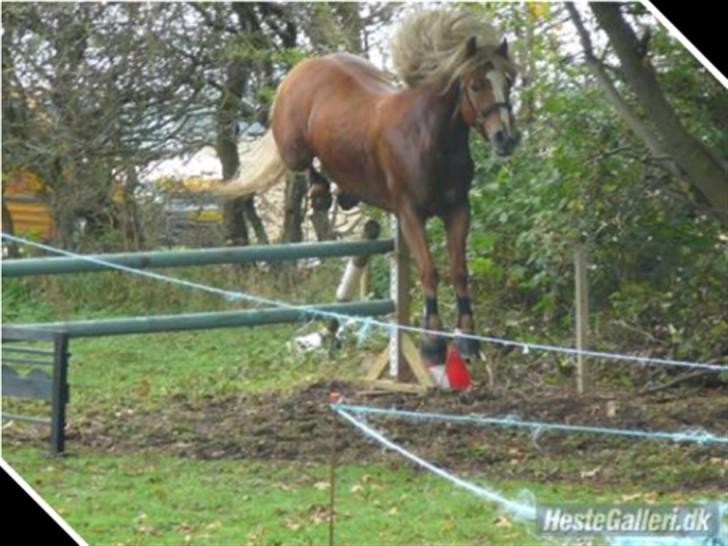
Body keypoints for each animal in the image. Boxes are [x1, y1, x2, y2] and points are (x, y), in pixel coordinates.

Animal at [222, 9, 516, 362]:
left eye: (509, 82)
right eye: (475, 85)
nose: (506, 138)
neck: (432, 139)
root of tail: (306, 66)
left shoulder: (459, 210)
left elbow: (459, 270)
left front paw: (468, 340)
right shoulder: (410, 214)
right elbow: (429, 271)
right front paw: (432, 341)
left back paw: (344, 195)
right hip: (293, 147)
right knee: (306, 167)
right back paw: (321, 194)